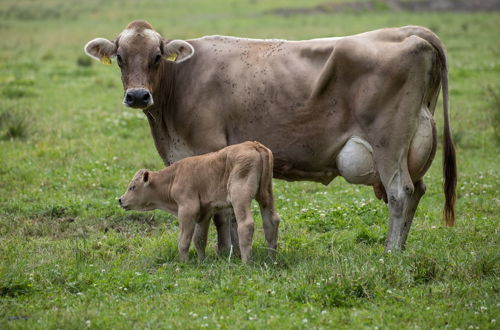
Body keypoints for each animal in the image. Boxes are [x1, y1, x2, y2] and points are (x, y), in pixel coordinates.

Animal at [117, 142, 282, 262]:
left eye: (132, 187)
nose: (120, 199)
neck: (174, 177)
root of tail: (253, 145)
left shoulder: (187, 210)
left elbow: (184, 240)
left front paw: (183, 263)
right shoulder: (205, 212)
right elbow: (199, 239)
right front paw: (201, 261)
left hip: (239, 197)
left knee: (246, 224)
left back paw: (246, 262)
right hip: (266, 195)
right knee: (271, 221)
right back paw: (271, 259)